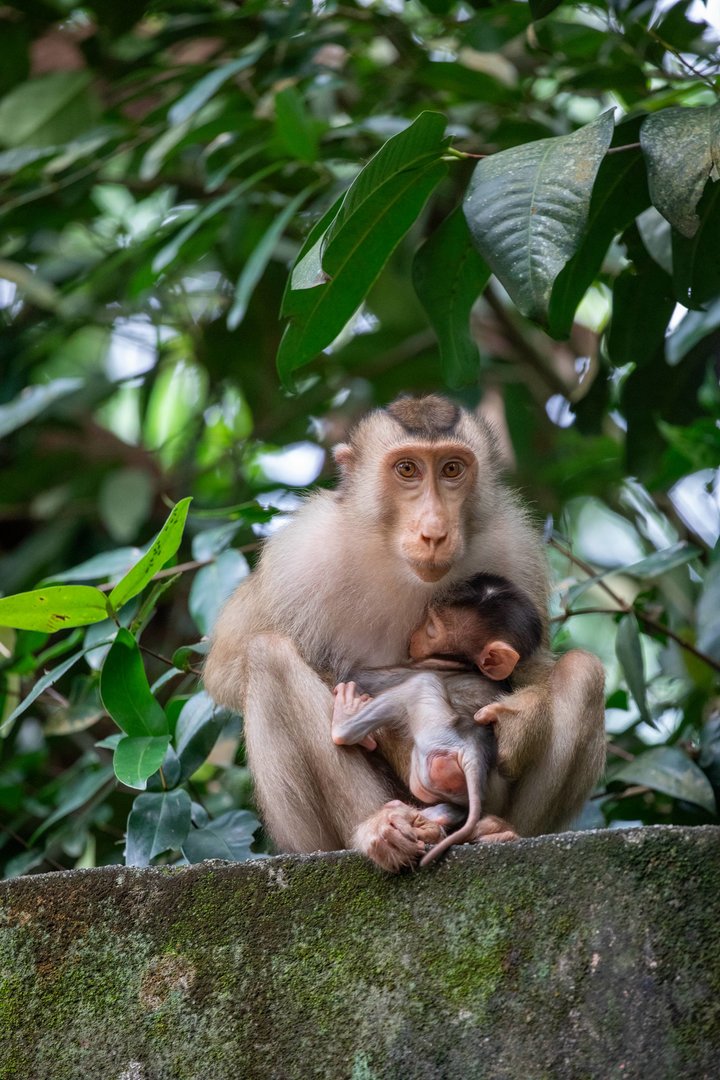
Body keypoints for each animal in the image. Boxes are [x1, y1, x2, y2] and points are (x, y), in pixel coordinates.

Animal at [330, 574, 543, 866]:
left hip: (434, 740)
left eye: (431, 628)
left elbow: (358, 674)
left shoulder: (424, 664)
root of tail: (474, 751)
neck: (466, 665)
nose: (414, 636)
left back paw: (345, 721)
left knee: (421, 684)